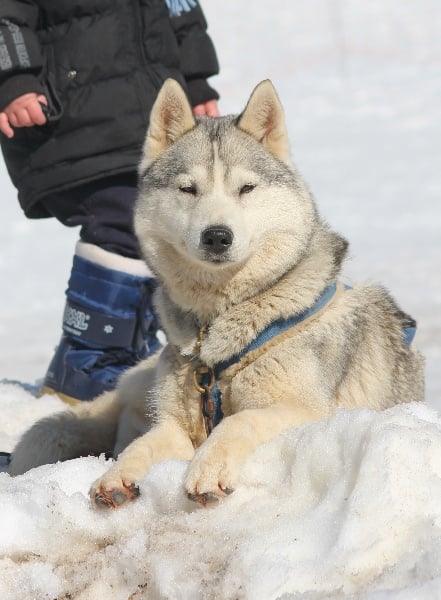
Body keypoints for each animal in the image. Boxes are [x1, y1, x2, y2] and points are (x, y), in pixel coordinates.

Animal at [9, 79, 422, 506]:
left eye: (246, 188)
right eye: (188, 189)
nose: (217, 236)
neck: (218, 332)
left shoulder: (304, 410)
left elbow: (238, 422)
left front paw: (207, 470)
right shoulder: (176, 423)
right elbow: (143, 445)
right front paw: (116, 475)